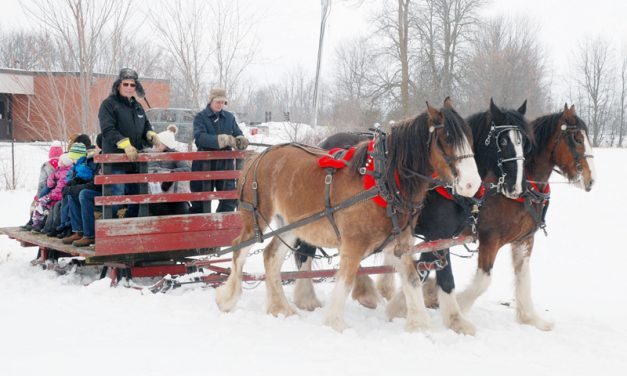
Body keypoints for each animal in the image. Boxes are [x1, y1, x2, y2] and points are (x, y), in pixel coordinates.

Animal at [216, 100, 480, 332]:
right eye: (447, 138)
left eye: (469, 137)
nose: (472, 184)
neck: (384, 182)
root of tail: (257, 157)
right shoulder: (354, 244)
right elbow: (345, 279)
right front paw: (336, 323)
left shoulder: (398, 244)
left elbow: (413, 280)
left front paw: (420, 326)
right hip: (256, 218)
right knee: (239, 249)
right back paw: (228, 298)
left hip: (290, 225)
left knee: (271, 256)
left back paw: (281, 309)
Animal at [388, 104, 600, 330]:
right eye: (577, 138)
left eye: (525, 143)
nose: (591, 180)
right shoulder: (486, 237)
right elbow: (481, 280)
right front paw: (454, 306)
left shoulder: (524, 240)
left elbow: (523, 275)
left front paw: (530, 318)